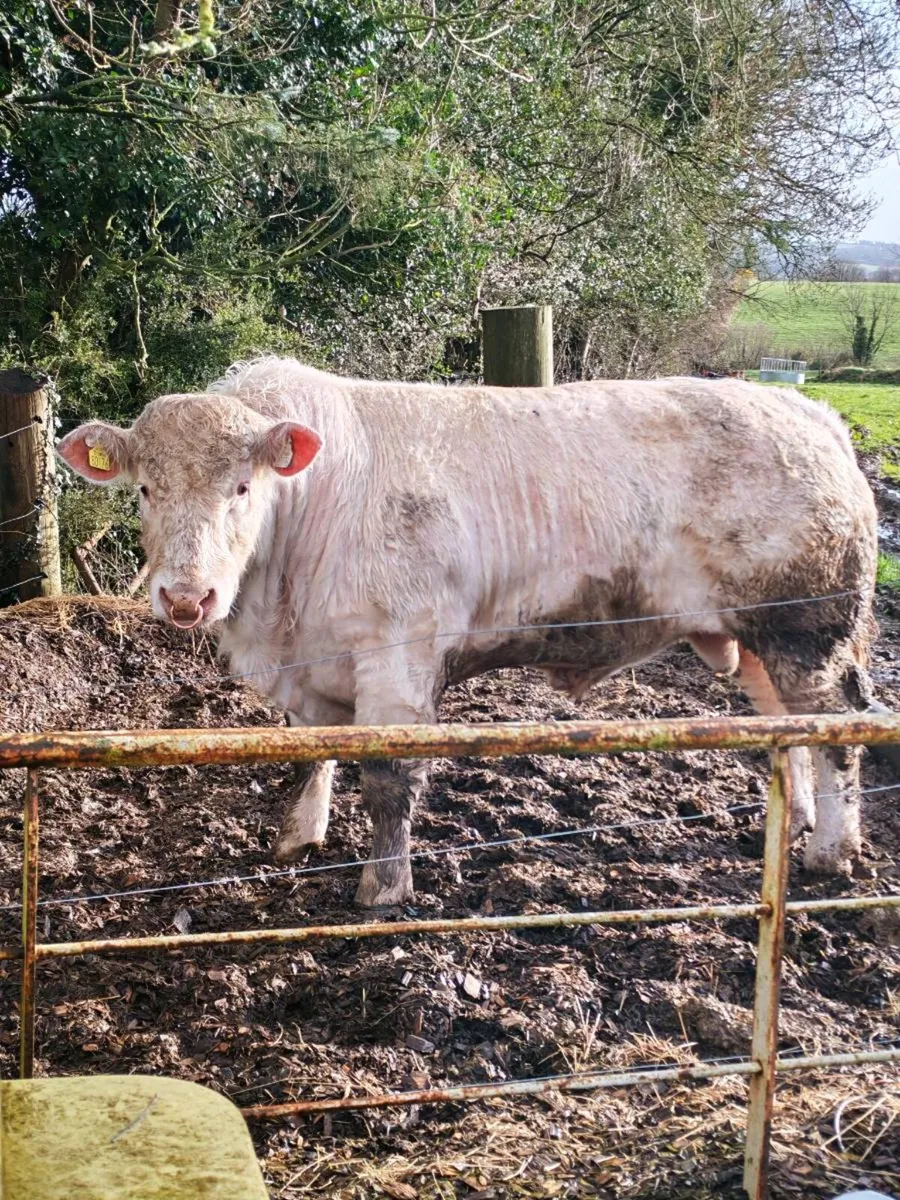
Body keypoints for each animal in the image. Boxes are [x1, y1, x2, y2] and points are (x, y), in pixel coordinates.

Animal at [58, 357, 878, 906]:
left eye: (241, 487)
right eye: (144, 489)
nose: (186, 596)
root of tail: (808, 412)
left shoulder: (399, 657)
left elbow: (389, 782)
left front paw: (383, 889)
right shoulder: (313, 663)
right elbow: (312, 752)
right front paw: (301, 834)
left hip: (808, 628)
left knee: (838, 727)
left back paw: (832, 852)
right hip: (760, 639)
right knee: (787, 725)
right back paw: (793, 823)